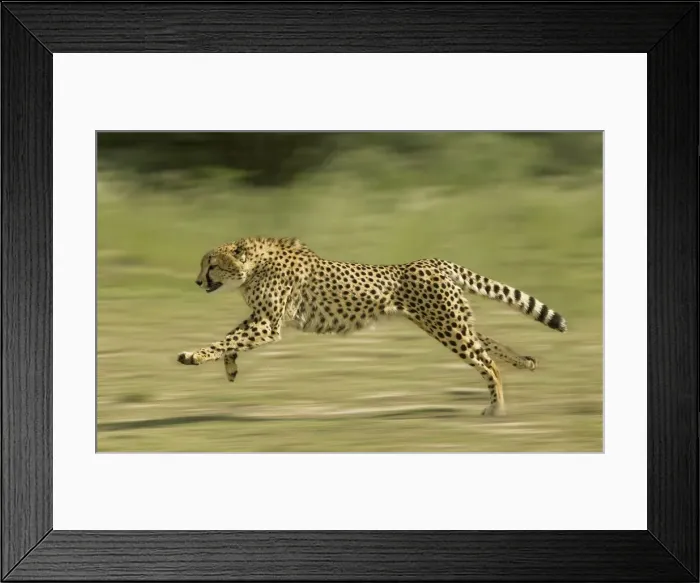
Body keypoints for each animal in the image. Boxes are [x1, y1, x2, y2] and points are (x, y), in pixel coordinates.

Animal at [177, 236, 567, 416]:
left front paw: (194, 356)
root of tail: (433, 260)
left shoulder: (268, 323)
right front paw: (229, 368)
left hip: (447, 325)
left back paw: (497, 408)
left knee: (487, 362)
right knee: (488, 344)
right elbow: (231, 338)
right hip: (449, 320)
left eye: (211, 264)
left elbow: (226, 339)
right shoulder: (262, 318)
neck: (253, 266)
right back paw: (525, 361)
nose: (196, 281)